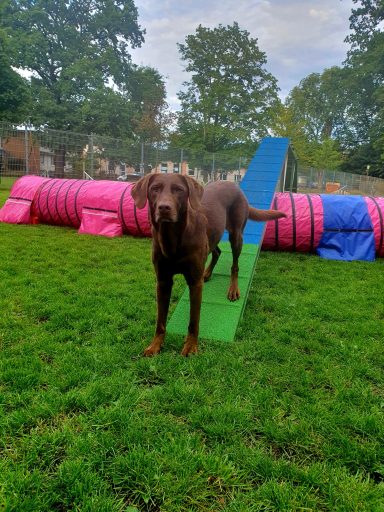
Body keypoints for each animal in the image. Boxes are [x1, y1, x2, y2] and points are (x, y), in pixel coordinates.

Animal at [132, 172, 284, 356]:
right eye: (155, 189)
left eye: (179, 190)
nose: (164, 208)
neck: (172, 237)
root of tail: (233, 185)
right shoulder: (162, 281)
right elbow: (160, 320)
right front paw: (155, 346)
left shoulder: (194, 283)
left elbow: (194, 319)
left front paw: (191, 346)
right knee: (217, 251)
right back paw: (208, 273)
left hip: (236, 235)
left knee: (235, 265)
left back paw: (233, 289)